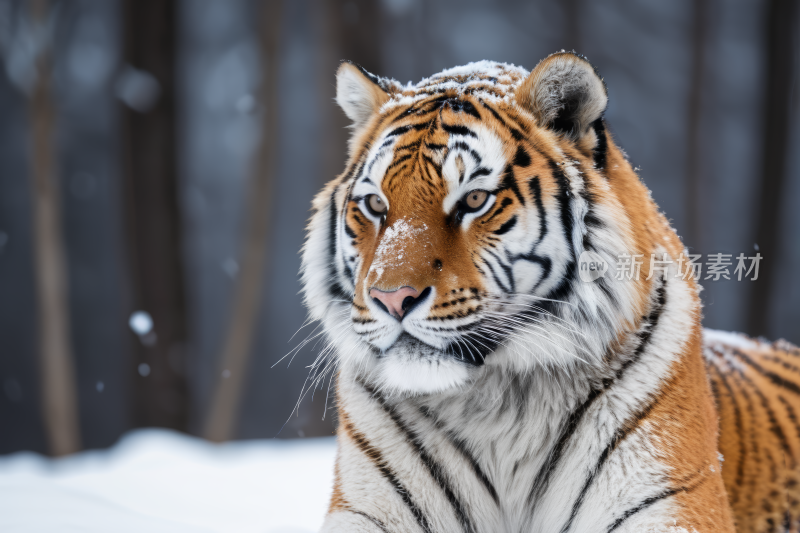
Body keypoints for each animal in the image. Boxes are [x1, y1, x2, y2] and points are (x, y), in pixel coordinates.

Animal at [300, 51, 800, 532]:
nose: (391, 299)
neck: (496, 405)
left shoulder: (669, 501)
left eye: (474, 200)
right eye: (375, 204)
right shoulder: (368, 508)